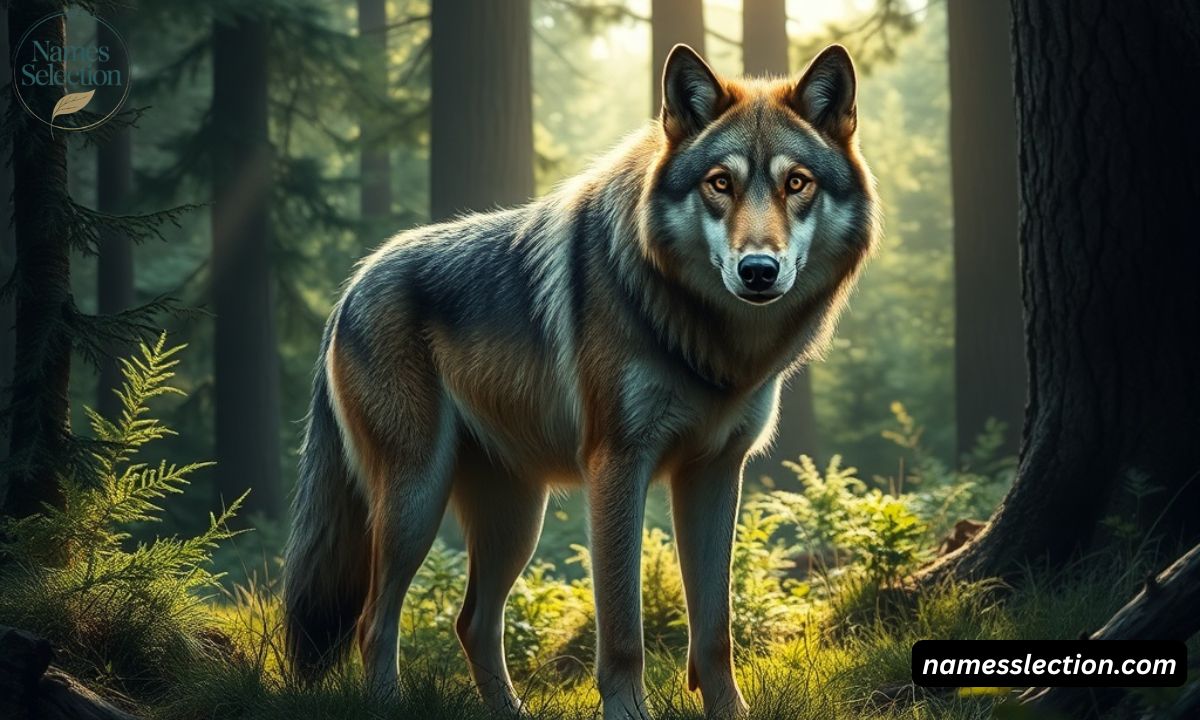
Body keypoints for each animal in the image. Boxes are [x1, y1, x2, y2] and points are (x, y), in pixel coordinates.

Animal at [283, 43, 878, 719]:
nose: (757, 270)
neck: (708, 341)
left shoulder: (716, 472)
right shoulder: (616, 464)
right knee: (373, 623)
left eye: (796, 183)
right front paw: (627, 713)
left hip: (516, 519)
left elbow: (715, 629)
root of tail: (351, 286)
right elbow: (622, 630)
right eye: (719, 183)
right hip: (417, 499)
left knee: (472, 623)